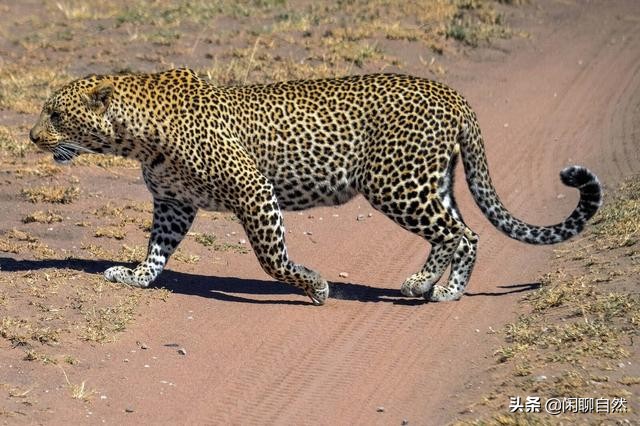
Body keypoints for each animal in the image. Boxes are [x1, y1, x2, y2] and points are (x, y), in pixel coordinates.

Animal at [28, 68, 600, 304]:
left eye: (55, 114)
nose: (32, 136)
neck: (136, 137)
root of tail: (452, 95)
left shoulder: (253, 189)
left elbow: (271, 259)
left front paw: (314, 286)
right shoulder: (173, 203)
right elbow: (156, 250)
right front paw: (136, 278)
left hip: (395, 182)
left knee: (457, 233)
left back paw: (424, 286)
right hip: (428, 181)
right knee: (467, 232)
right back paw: (442, 290)